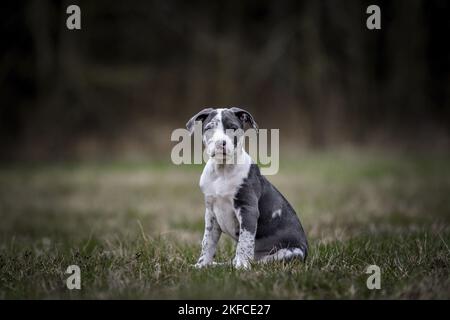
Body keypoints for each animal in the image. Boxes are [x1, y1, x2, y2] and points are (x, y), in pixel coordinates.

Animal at [185, 108, 308, 270]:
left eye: (233, 128)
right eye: (209, 128)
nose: (220, 143)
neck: (222, 171)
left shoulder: (248, 209)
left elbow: (245, 240)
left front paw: (242, 266)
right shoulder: (211, 214)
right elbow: (207, 242)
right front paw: (201, 265)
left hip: (291, 253)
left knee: (262, 261)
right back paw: (217, 264)